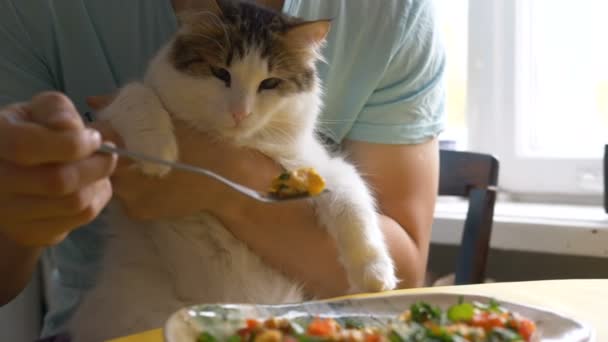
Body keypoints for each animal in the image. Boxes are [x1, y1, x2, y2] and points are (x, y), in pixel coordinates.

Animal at [67, 1, 400, 340]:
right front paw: (157, 151)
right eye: (220, 74)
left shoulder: (323, 168)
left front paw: (374, 274)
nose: (240, 113)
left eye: (269, 83)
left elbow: (354, 209)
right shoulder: (111, 115)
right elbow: (136, 94)